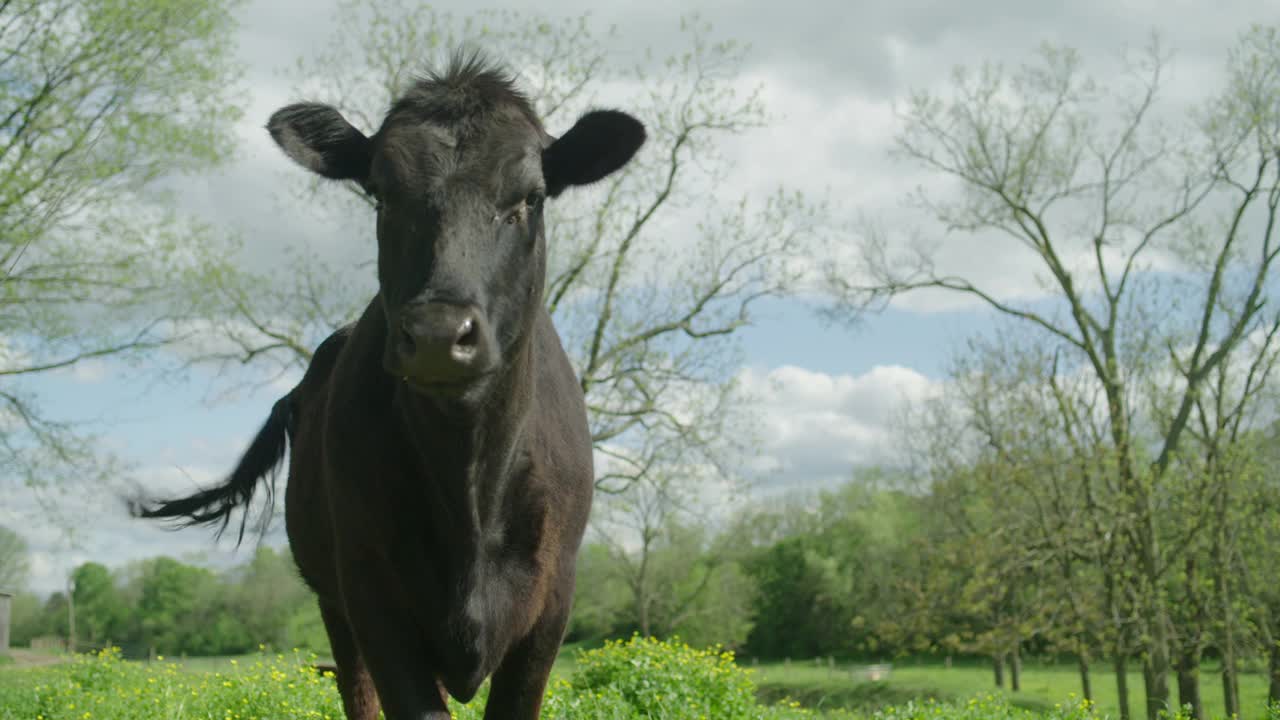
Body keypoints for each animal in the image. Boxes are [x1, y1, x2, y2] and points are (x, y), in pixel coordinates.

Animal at [137, 51, 650, 717]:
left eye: (530, 198)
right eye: (381, 195)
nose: (437, 333)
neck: (469, 488)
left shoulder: (551, 604)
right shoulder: (371, 594)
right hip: (333, 601)